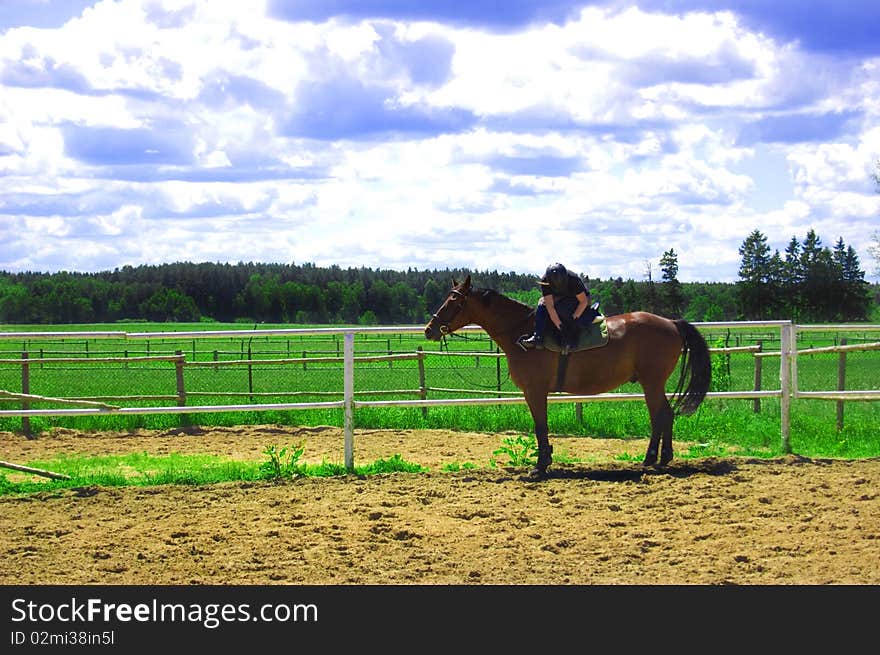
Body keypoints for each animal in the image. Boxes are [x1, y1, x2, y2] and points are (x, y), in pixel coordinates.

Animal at [422, 274, 712, 480]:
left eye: (454, 301)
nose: (429, 330)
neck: (523, 332)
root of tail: (671, 323)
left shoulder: (535, 391)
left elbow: (540, 426)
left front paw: (540, 466)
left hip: (651, 382)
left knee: (660, 415)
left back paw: (651, 459)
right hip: (652, 383)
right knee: (666, 414)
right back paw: (662, 458)